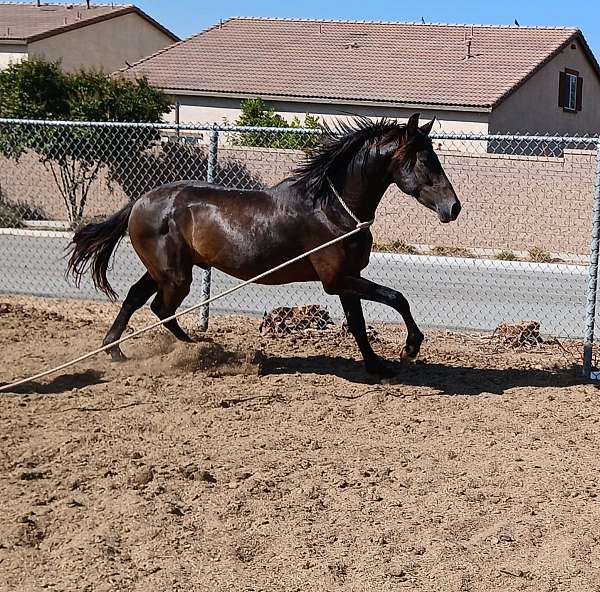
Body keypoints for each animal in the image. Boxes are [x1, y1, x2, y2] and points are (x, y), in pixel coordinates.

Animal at [67, 113, 460, 376]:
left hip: (165, 270)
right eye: (425, 159)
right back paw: (197, 350)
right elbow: (397, 298)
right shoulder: (337, 280)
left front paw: (377, 367)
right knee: (160, 308)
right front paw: (410, 348)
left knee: (138, 299)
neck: (331, 208)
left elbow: (359, 324)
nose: (453, 207)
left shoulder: (347, 279)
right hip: (175, 275)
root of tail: (140, 201)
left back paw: (120, 351)